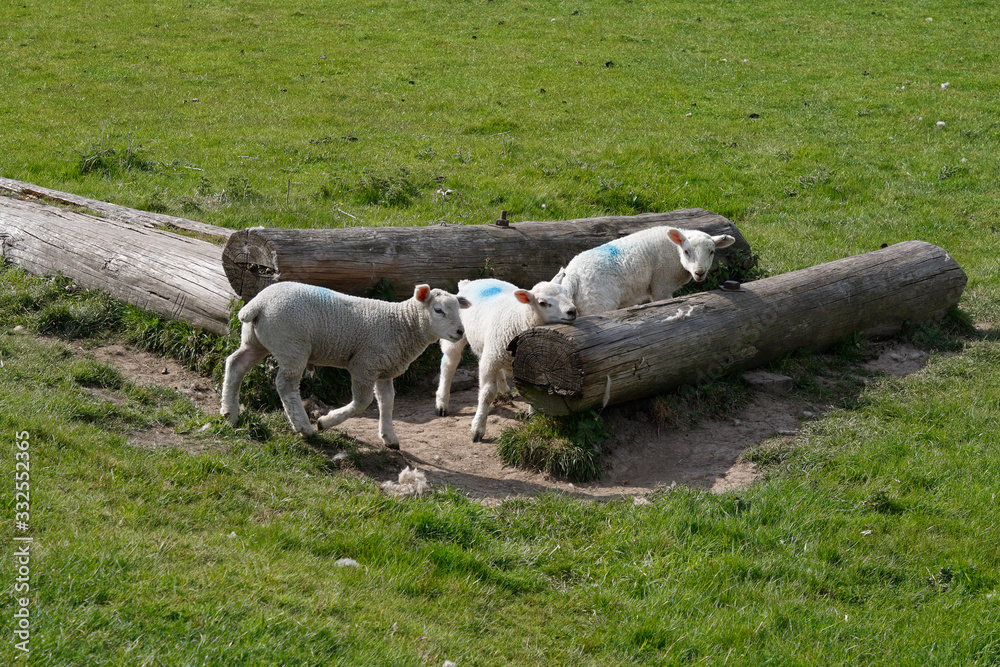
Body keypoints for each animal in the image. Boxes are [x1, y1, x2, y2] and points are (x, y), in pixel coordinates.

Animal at [220, 281, 470, 448]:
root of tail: (257, 304)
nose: (460, 332)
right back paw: (304, 428)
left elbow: (387, 402)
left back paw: (229, 413)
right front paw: (326, 421)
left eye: (458, 310)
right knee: (285, 385)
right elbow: (362, 402)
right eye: (438, 310)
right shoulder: (364, 365)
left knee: (235, 365)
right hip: (292, 345)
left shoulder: (383, 369)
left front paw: (389, 437)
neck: (401, 324)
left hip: (256, 340)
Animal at [434, 278, 577, 442]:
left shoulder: (532, 362)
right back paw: (442, 403)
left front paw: (533, 418)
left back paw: (504, 389)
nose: (572, 311)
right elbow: (487, 394)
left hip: (487, 345)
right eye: (542, 303)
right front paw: (477, 428)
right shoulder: (493, 357)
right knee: (448, 364)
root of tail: (469, 282)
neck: (519, 317)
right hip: (457, 334)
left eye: (566, 292)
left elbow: (534, 391)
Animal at [552, 226, 736, 316]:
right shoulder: (662, 286)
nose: (699, 273)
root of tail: (572, 276)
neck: (674, 250)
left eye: (712, 252)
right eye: (686, 252)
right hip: (596, 303)